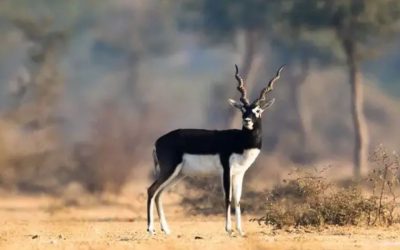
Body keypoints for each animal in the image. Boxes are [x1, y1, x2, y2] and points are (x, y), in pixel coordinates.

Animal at [147, 64, 284, 236]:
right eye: (243, 109)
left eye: (257, 110)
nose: (246, 121)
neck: (241, 141)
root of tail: (157, 141)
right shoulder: (226, 170)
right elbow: (228, 198)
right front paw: (229, 229)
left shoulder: (239, 173)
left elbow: (238, 200)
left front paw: (241, 231)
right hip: (169, 170)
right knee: (151, 190)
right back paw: (151, 229)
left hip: (178, 174)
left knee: (159, 194)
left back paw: (165, 229)